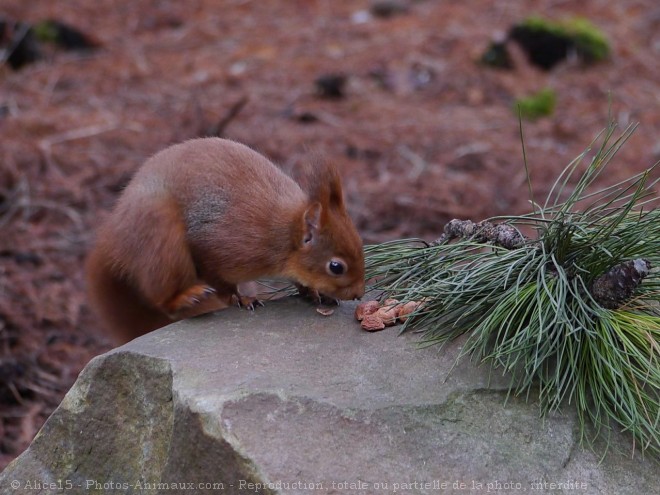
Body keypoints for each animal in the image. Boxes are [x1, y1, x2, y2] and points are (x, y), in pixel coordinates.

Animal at [84, 138, 364, 342]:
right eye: (336, 267)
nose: (359, 294)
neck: (283, 236)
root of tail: (116, 236)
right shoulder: (221, 246)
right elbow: (218, 279)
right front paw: (240, 298)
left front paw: (314, 292)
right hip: (161, 236)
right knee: (163, 298)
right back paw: (187, 297)